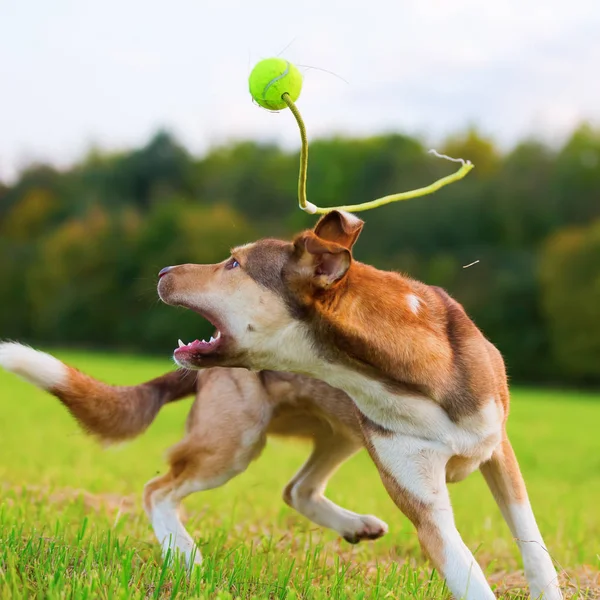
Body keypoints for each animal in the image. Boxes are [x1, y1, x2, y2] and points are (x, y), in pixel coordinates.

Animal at [152, 211, 564, 600]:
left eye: (234, 264)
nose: (162, 271)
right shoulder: (426, 507)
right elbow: (470, 577)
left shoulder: (497, 447)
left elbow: (533, 546)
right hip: (235, 441)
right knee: (157, 490)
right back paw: (186, 556)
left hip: (342, 434)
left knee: (297, 488)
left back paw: (358, 526)